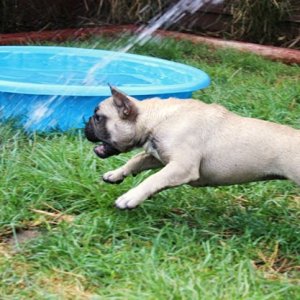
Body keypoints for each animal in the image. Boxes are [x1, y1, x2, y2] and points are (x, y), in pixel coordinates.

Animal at [84, 85, 300, 210]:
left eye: (98, 117)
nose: (86, 124)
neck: (157, 118)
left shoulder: (181, 166)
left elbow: (152, 178)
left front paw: (131, 196)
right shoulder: (158, 156)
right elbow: (136, 160)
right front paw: (116, 174)